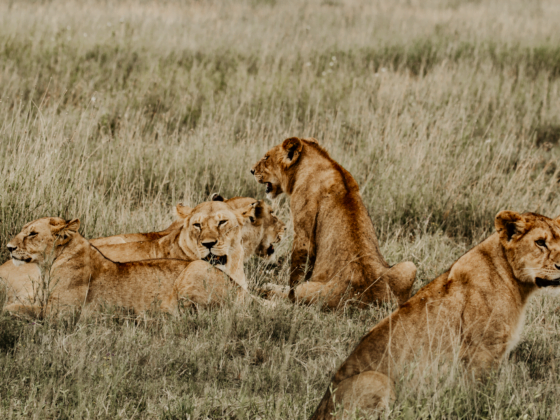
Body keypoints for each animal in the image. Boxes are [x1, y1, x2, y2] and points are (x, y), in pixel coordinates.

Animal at [1, 202, 253, 316]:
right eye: (197, 225)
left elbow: (16, 308)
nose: (9, 247)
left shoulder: (62, 312)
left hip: (193, 272)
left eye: (32, 234)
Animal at [252, 137, 418, 308]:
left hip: (307, 289)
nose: (252, 170)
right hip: (409, 267)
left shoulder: (303, 231)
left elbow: (295, 274)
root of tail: (366, 298)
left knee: (294, 297)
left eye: (266, 157)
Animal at [310, 212, 560, 418]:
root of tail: (318, 410)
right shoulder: (482, 352)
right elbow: (478, 396)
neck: (515, 282)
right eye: (540, 242)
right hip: (377, 380)